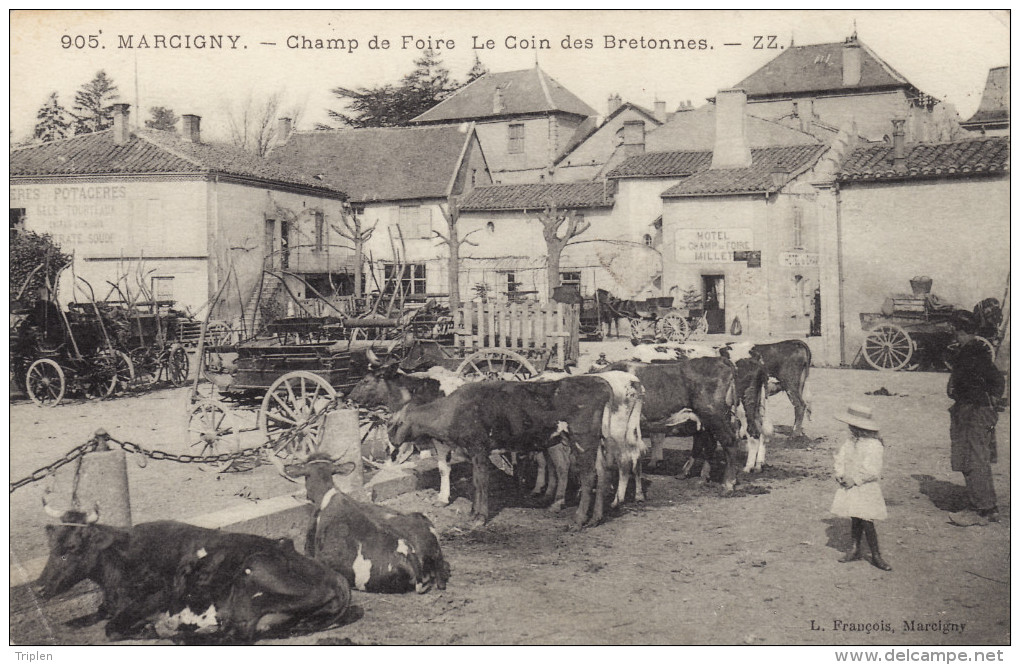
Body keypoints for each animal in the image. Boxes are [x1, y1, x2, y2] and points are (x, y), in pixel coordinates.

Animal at [36, 505, 350, 640]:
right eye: (52, 545)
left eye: (71, 547)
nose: (38, 588)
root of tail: (336, 577)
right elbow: (94, 616)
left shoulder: (160, 595)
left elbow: (111, 628)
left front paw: (144, 628)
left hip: (251, 579)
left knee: (237, 634)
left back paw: (172, 632)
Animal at [385, 373, 640, 530]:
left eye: (393, 424)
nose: (391, 448)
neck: (455, 409)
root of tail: (599, 381)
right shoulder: (474, 452)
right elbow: (476, 482)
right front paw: (473, 512)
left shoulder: (479, 449)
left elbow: (481, 483)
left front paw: (480, 517)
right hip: (596, 442)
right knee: (603, 473)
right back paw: (595, 518)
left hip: (582, 439)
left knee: (588, 477)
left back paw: (578, 520)